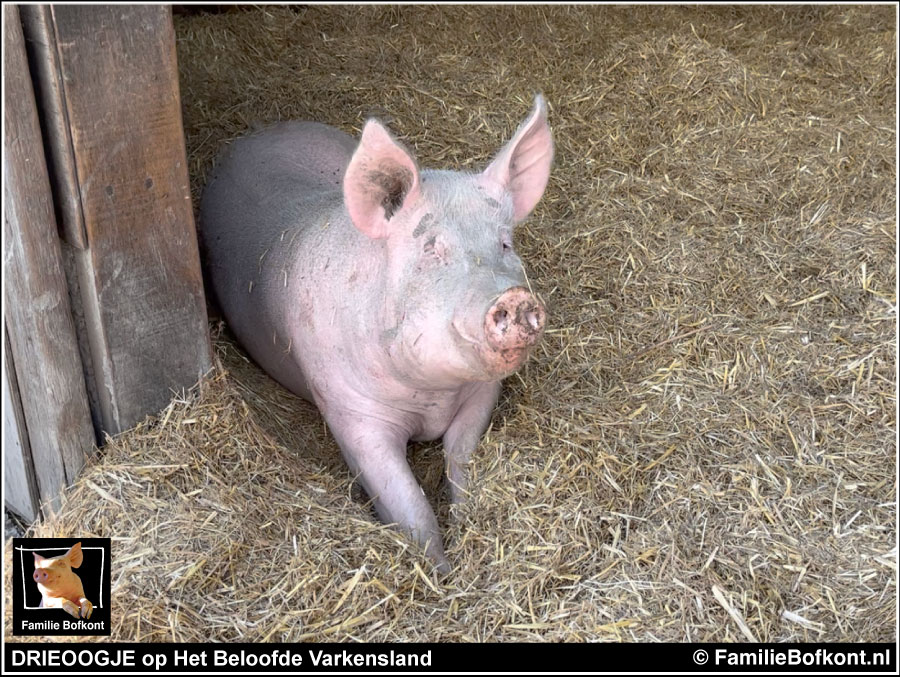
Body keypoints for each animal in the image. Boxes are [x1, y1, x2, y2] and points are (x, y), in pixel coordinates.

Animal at [200, 95, 552, 572]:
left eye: (504, 243)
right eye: (431, 248)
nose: (514, 298)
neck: (433, 397)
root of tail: (259, 131)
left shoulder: (482, 394)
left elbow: (461, 460)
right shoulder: (351, 413)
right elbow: (409, 506)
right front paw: (440, 573)